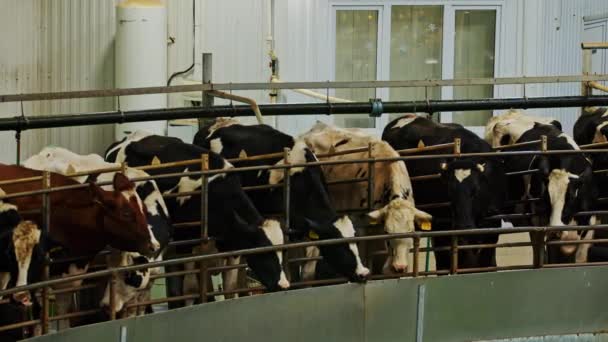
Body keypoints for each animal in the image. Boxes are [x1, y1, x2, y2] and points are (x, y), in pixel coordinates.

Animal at [106, 132, 290, 304]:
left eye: (283, 251)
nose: (284, 285)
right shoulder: (186, 242)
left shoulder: (233, 246)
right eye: (263, 252)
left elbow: (230, 288)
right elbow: (191, 288)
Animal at [486, 111, 596, 264]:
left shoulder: (585, 225)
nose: (556, 229)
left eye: (572, 197)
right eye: (546, 198)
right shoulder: (537, 224)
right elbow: (541, 255)